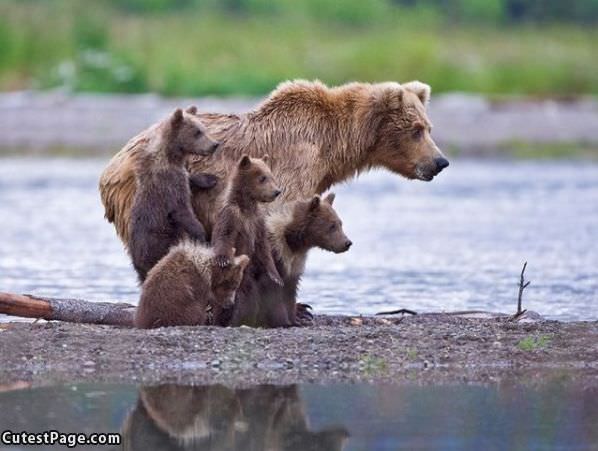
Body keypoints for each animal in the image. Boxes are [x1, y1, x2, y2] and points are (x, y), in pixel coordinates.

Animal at [99, 79, 450, 245]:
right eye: (416, 130)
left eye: (429, 127)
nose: (440, 161)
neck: (333, 142)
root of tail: (111, 164)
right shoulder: (296, 164)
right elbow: (278, 217)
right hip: (153, 193)